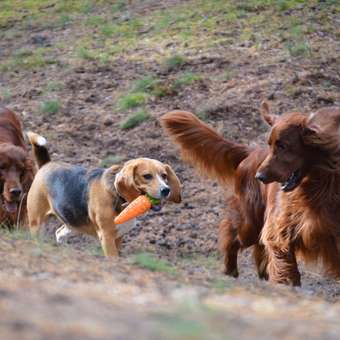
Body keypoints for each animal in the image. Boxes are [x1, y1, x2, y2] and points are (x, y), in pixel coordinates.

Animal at [26, 133, 182, 258]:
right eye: (147, 176)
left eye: (164, 175)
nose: (166, 190)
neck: (120, 198)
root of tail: (46, 165)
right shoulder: (107, 237)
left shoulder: (118, 237)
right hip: (37, 222)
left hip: (72, 223)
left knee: (59, 232)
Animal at [161, 105, 340, 286]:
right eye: (271, 145)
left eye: (283, 145)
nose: (259, 176)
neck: (320, 184)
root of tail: (251, 153)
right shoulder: (279, 231)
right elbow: (285, 265)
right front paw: (287, 284)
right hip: (249, 223)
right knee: (232, 236)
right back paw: (230, 270)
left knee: (258, 249)